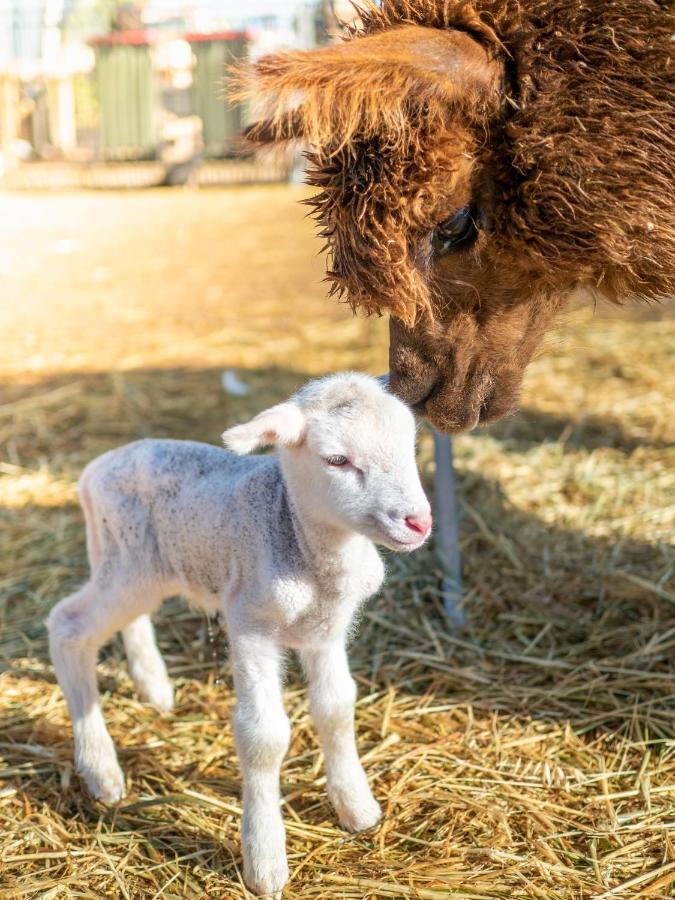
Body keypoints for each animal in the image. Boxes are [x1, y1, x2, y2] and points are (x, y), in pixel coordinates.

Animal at [46, 370, 434, 892]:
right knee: (69, 628)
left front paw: (357, 808)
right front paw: (265, 861)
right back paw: (100, 768)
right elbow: (263, 736)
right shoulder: (250, 622)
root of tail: (94, 470)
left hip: (135, 564)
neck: (301, 537)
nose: (419, 522)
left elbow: (336, 709)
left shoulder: (326, 632)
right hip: (129, 564)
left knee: (127, 619)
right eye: (337, 459)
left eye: (411, 444)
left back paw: (154, 687)